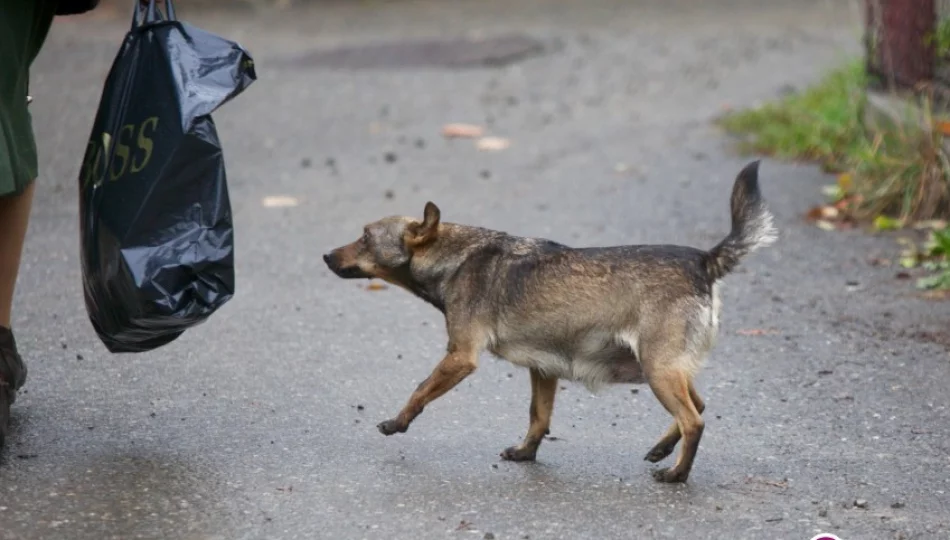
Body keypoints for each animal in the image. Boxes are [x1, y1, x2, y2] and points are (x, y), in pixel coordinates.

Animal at [324, 159, 776, 480]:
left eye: (364, 237)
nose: (326, 255)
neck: (457, 256)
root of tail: (704, 261)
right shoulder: (543, 369)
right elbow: (538, 417)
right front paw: (526, 453)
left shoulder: (460, 357)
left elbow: (419, 391)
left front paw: (397, 423)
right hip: (666, 369)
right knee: (697, 407)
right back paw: (663, 450)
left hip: (659, 369)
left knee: (694, 420)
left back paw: (677, 473)